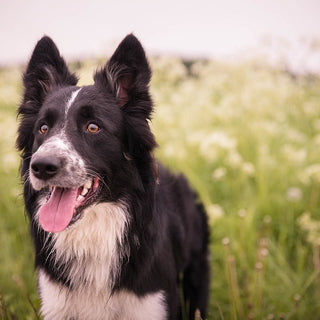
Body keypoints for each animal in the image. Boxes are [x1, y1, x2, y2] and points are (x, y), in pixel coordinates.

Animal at [16, 35, 209, 320]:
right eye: (43, 128)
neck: (93, 232)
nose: (41, 166)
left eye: (93, 127)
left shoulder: (150, 304)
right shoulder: (57, 303)